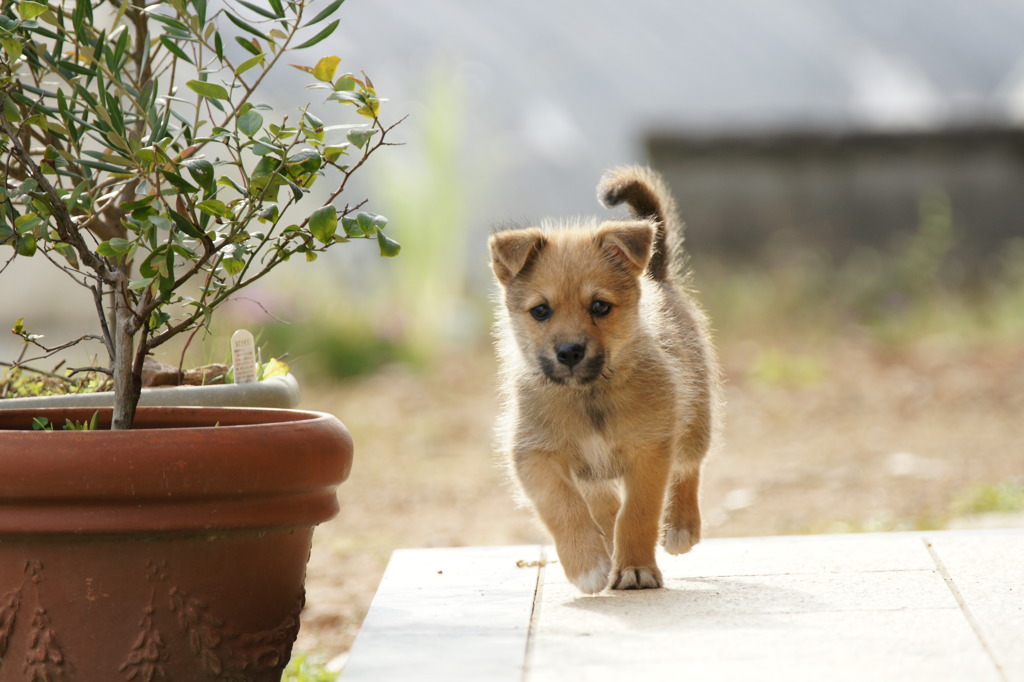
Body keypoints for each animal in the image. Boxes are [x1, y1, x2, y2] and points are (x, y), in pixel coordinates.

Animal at [489, 164, 720, 589]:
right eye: (541, 311)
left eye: (599, 306)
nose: (569, 353)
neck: (589, 395)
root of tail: (657, 276)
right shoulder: (535, 455)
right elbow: (562, 506)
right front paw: (587, 564)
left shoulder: (649, 450)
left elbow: (638, 514)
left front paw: (635, 567)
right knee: (601, 502)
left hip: (695, 417)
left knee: (687, 469)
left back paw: (680, 526)